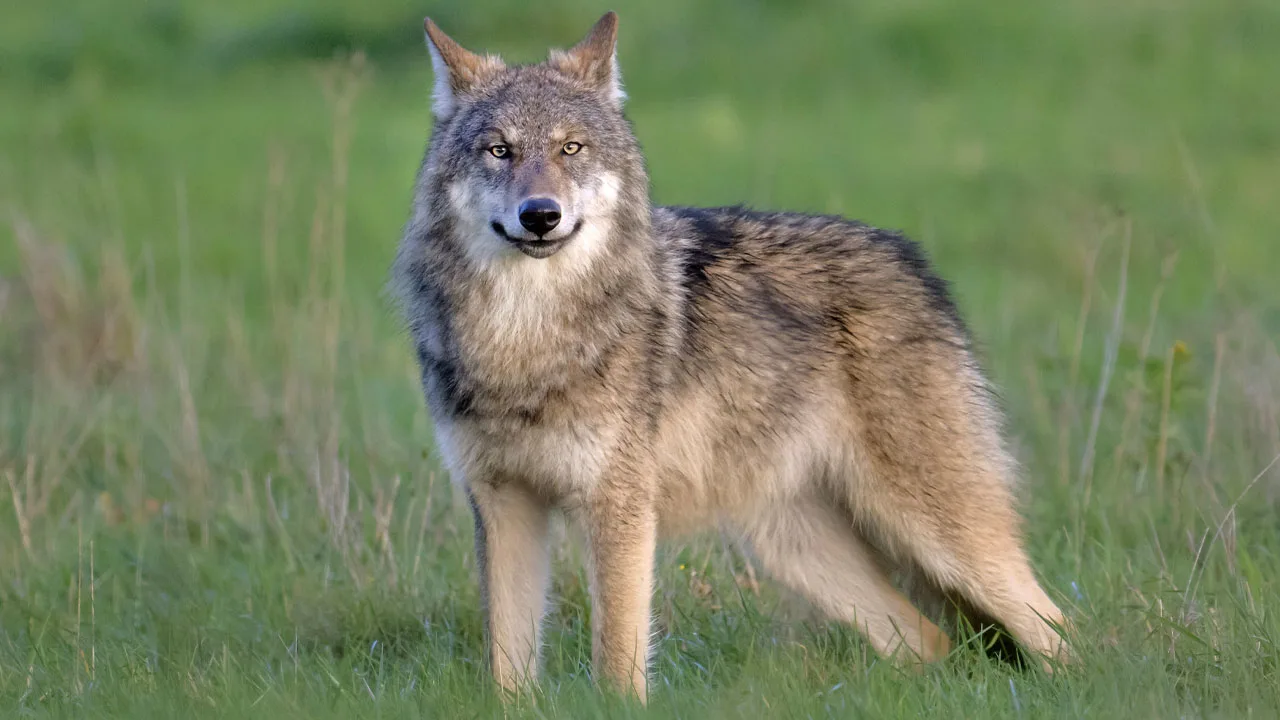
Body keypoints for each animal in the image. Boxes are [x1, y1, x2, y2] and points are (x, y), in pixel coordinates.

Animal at [392, 11, 1070, 701]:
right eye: (499, 150)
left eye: (570, 149)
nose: (540, 215)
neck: (524, 339)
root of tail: (914, 262)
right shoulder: (503, 505)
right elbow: (508, 670)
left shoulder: (619, 507)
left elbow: (616, 662)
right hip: (796, 547)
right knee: (931, 641)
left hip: (940, 536)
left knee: (1058, 631)